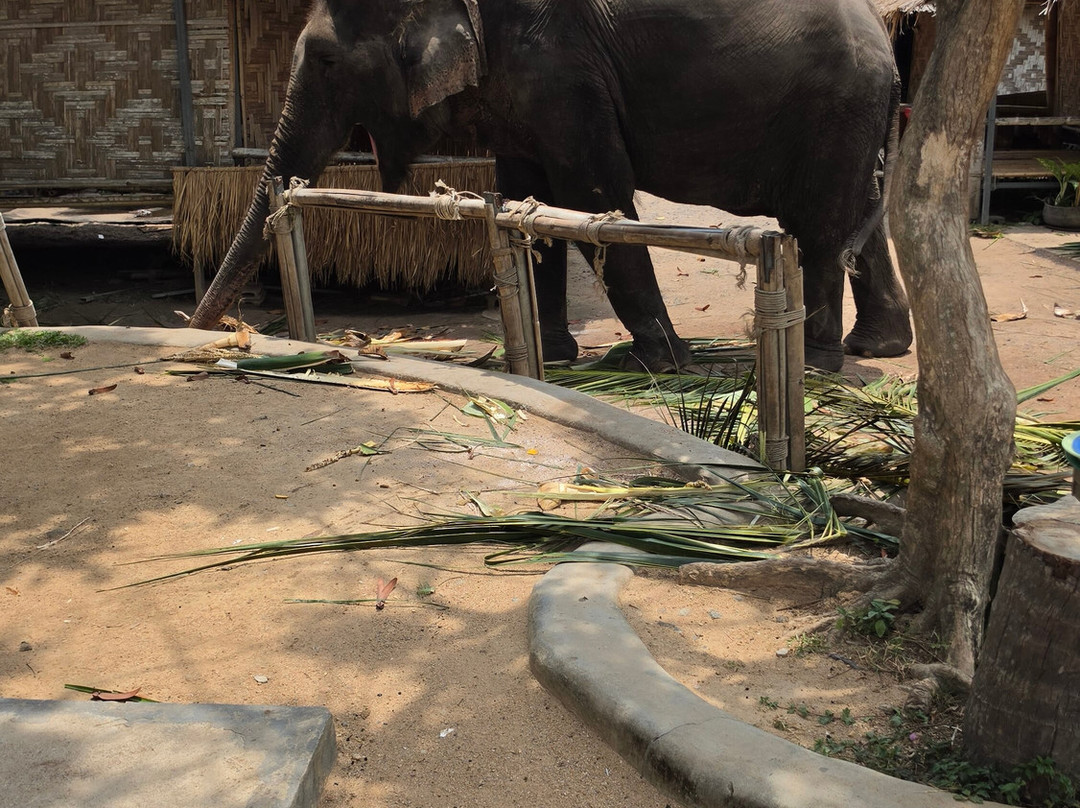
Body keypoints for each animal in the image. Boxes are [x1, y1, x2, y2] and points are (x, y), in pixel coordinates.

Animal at [188, 0, 913, 373]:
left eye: (326, 60)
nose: (217, 334)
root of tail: (889, 40)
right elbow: (528, 200)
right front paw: (557, 358)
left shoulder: (562, 68)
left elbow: (595, 197)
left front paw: (661, 363)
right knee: (858, 220)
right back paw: (874, 348)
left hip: (834, 109)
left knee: (820, 227)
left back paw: (816, 365)